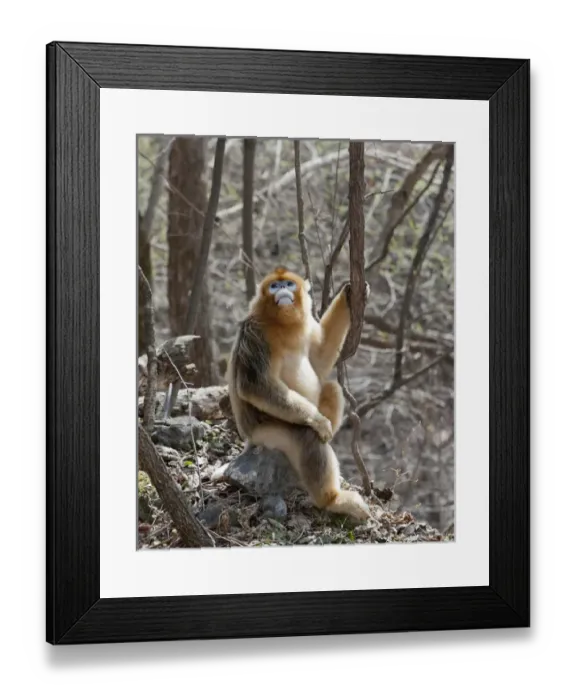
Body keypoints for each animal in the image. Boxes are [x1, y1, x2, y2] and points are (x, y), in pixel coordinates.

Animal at [226, 266, 371, 522]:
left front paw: (348, 292)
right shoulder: (255, 334)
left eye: (288, 284)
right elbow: (255, 386)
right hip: (269, 433)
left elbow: (319, 360)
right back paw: (332, 500)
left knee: (332, 388)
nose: (282, 289)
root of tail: (249, 440)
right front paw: (317, 420)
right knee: (308, 437)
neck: (280, 323)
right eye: (274, 286)